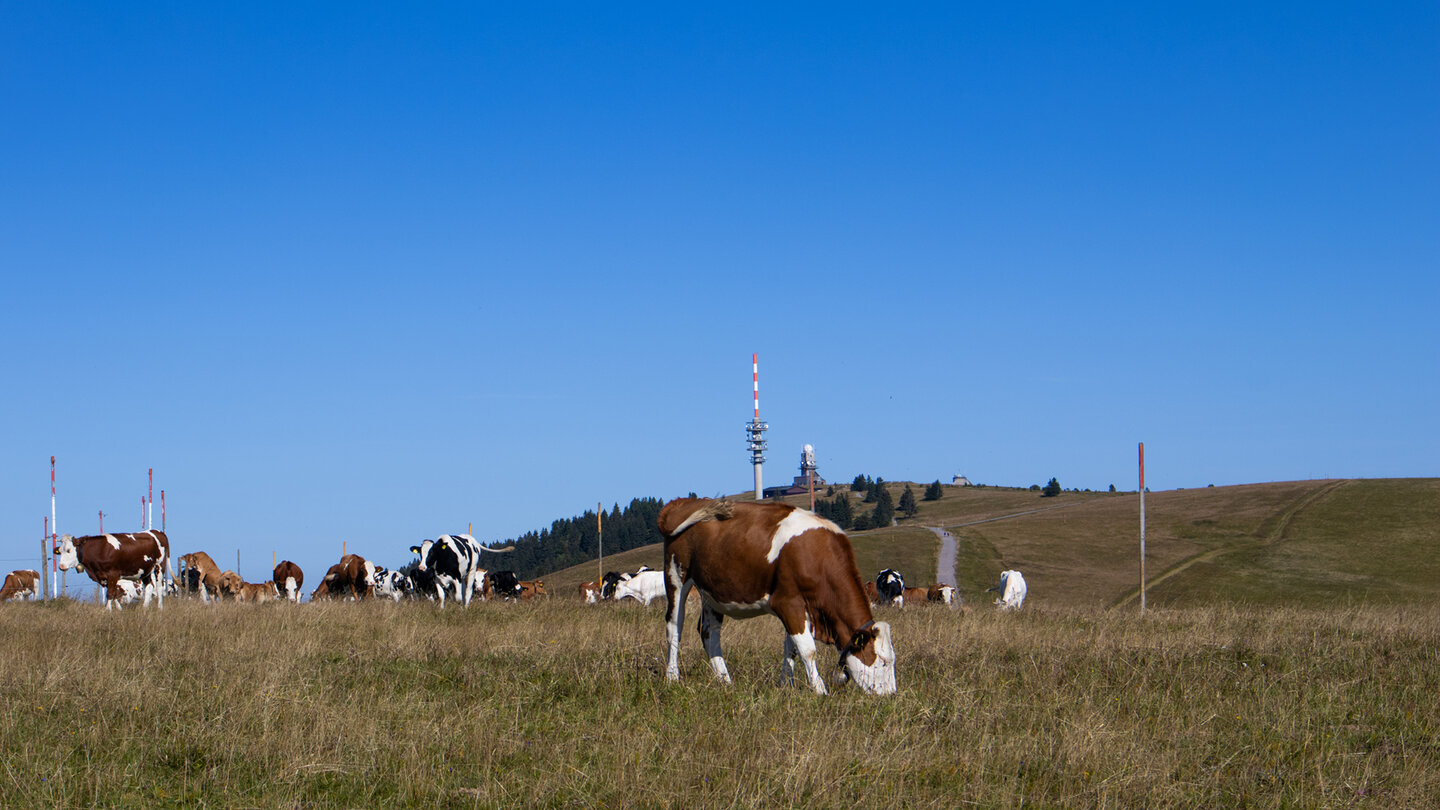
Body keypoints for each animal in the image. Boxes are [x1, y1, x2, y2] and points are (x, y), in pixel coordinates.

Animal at [659, 492, 892, 694]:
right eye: (882, 661)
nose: (890, 695)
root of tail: (683, 502)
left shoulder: (800, 608)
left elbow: (791, 648)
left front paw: (785, 685)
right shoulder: (788, 603)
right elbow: (807, 650)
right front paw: (819, 690)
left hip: (711, 591)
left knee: (709, 632)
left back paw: (725, 680)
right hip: (676, 575)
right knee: (674, 627)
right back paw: (672, 677)